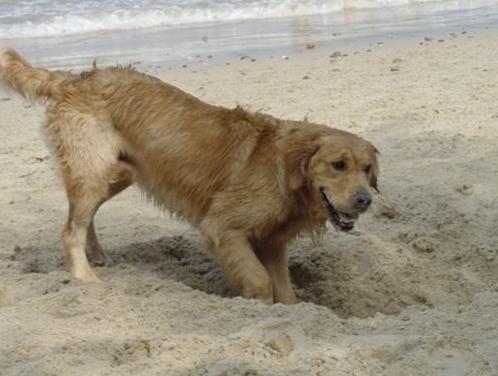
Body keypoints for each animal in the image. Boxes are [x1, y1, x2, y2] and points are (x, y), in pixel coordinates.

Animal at [0, 48, 378, 304]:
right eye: (338, 165)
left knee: (81, 217)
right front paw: (255, 304)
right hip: (93, 170)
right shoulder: (223, 228)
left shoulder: (271, 242)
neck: (285, 169)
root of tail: (76, 78)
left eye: (368, 169)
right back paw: (86, 278)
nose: (365, 200)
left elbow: (285, 291)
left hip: (116, 174)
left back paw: (97, 255)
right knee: (69, 229)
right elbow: (260, 282)